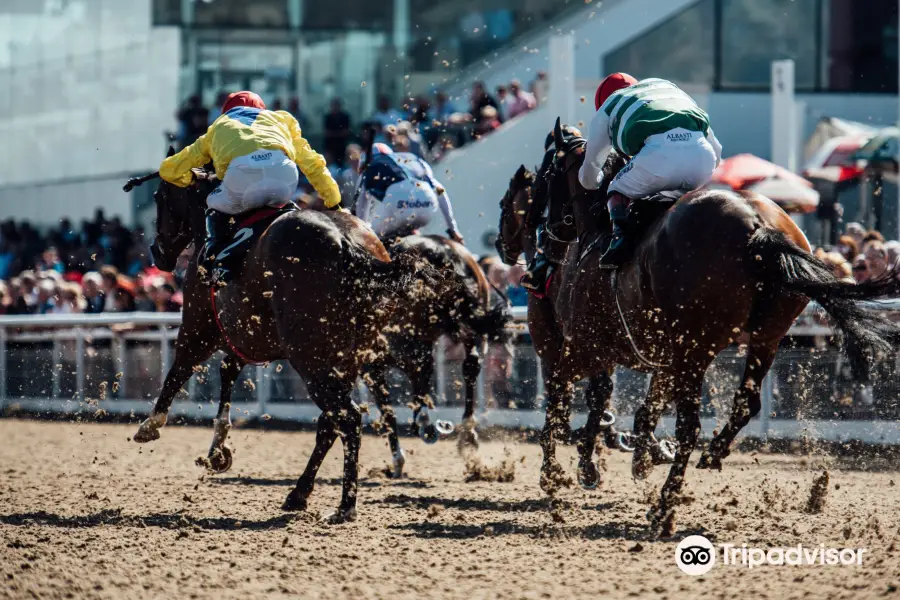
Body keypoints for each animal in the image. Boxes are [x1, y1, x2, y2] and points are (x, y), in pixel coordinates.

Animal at [125, 149, 446, 520]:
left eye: (158, 197)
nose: (157, 252)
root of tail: (350, 245)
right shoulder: (245, 333)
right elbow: (228, 371)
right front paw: (218, 450)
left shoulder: (200, 325)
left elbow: (180, 368)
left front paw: (151, 425)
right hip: (346, 357)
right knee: (331, 422)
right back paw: (299, 494)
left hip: (311, 357)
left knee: (347, 418)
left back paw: (345, 505)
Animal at [362, 232, 510, 476]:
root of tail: (441, 252)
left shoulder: (370, 366)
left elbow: (387, 410)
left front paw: (398, 458)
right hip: (470, 325)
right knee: (470, 365)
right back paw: (467, 435)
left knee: (423, 368)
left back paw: (427, 425)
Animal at [500, 118, 900, 536]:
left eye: (543, 179)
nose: (532, 257)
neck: (592, 236)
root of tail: (758, 226)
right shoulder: (654, 357)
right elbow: (634, 408)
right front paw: (634, 456)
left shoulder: (581, 346)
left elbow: (561, 405)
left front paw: (557, 473)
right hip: (764, 337)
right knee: (745, 402)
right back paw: (711, 453)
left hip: (695, 348)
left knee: (688, 426)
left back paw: (664, 505)